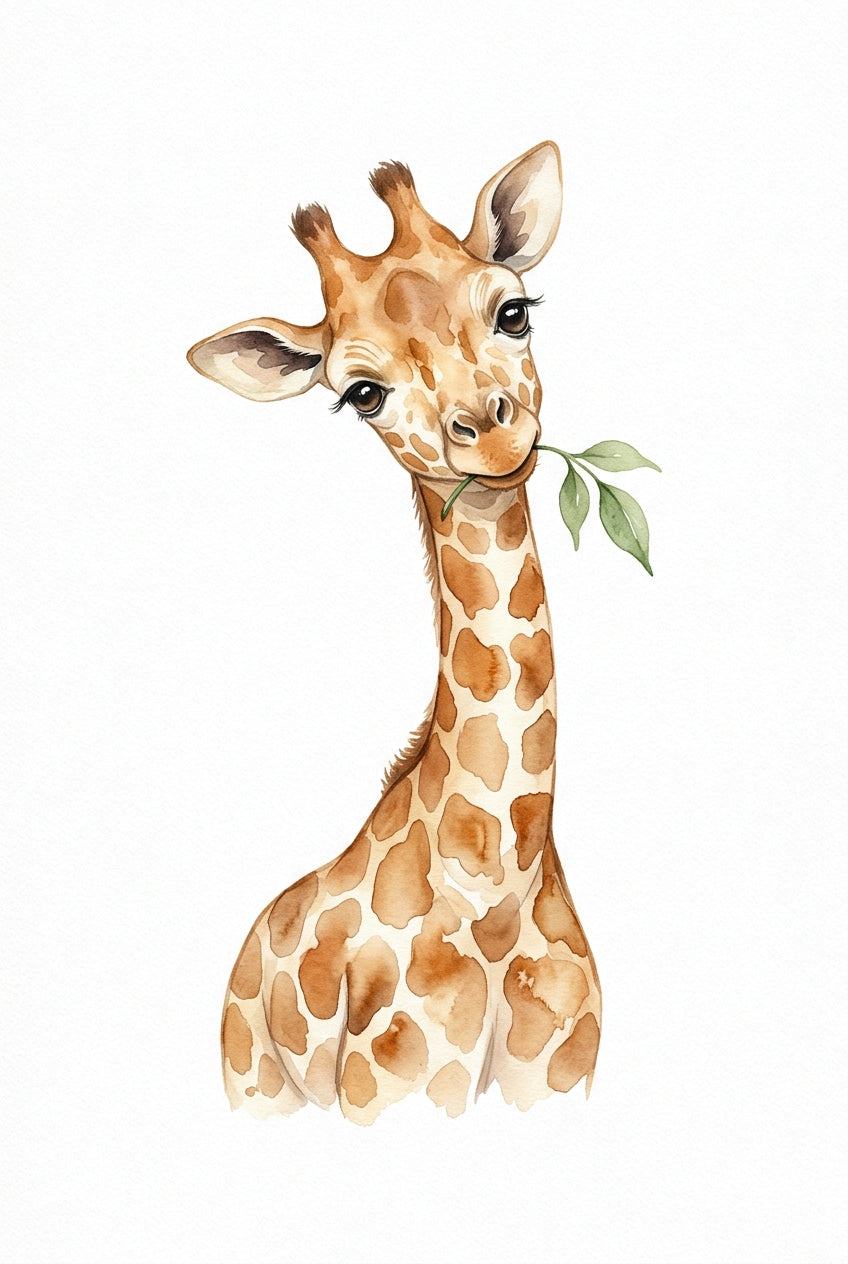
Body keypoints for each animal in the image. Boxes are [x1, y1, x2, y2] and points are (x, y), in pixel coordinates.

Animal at [188, 142, 601, 1123]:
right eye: (362, 393)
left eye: (513, 310)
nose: (488, 433)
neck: (496, 890)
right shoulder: (400, 1087)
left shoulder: (559, 1085)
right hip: (255, 1086)